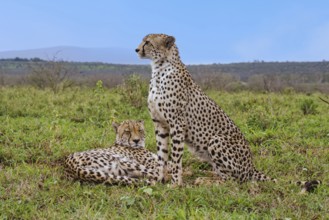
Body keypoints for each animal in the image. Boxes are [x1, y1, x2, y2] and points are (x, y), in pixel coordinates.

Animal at [135, 34, 276, 186]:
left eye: (148, 42)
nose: (136, 50)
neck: (159, 69)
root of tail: (251, 166)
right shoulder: (159, 123)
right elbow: (162, 155)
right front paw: (159, 180)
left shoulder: (177, 124)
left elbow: (175, 158)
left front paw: (175, 184)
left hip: (216, 140)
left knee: (232, 180)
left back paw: (205, 181)